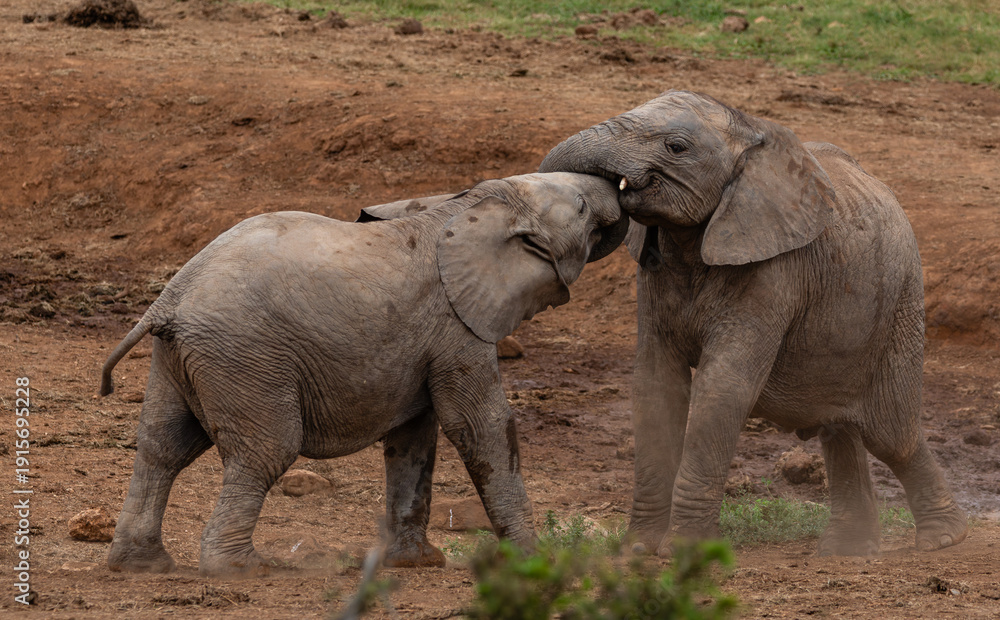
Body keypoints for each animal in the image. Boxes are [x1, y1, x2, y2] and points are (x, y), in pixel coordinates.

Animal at [98, 171, 627, 577]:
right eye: (582, 207)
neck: (471, 205)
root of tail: (169, 298)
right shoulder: (458, 324)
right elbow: (480, 428)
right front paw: (533, 562)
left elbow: (414, 438)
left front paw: (416, 563)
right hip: (244, 357)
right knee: (264, 451)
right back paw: (243, 568)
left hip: (182, 359)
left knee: (162, 446)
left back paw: (141, 565)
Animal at [540, 90, 967, 556]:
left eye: (676, 147)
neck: (750, 132)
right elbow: (656, 385)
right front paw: (638, 550)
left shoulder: (773, 270)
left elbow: (723, 386)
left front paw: (683, 551)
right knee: (841, 427)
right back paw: (847, 550)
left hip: (900, 305)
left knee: (892, 433)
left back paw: (944, 539)